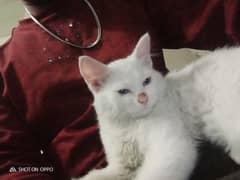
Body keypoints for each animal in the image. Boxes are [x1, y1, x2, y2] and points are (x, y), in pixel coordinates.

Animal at [74, 33, 197, 180]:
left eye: (147, 81)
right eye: (123, 91)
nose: (143, 98)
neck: (129, 126)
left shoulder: (172, 148)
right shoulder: (121, 166)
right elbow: (95, 176)